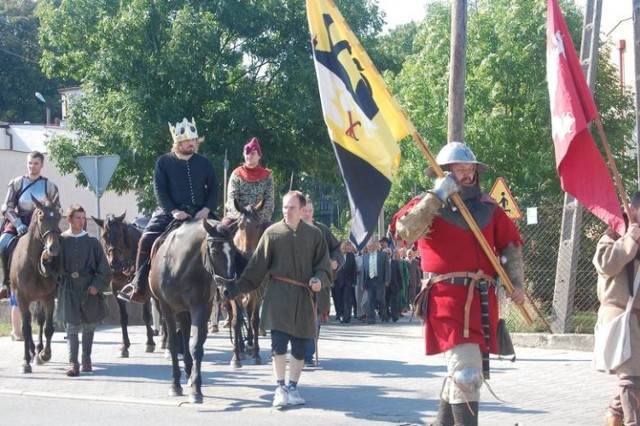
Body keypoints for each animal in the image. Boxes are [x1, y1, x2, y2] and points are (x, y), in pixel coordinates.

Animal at [10, 197, 61, 372]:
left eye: (59, 217)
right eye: (41, 217)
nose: (53, 248)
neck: (32, 264)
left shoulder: (49, 297)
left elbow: (48, 327)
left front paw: (45, 354)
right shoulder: (21, 298)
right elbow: (26, 329)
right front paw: (26, 361)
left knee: (39, 320)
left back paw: (37, 351)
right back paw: (32, 352)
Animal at [92, 213, 156, 356]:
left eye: (120, 234)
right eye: (104, 235)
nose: (114, 263)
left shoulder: (145, 290)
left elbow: (146, 315)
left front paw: (150, 342)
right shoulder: (116, 289)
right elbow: (123, 318)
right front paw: (124, 346)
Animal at [149, 218, 239, 404]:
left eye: (233, 251)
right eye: (215, 251)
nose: (230, 290)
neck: (178, 267)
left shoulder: (199, 306)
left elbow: (196, 345)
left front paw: (196, 390)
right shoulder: (166, 307)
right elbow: (174, 344)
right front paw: (175, 385)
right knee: (183, 331)